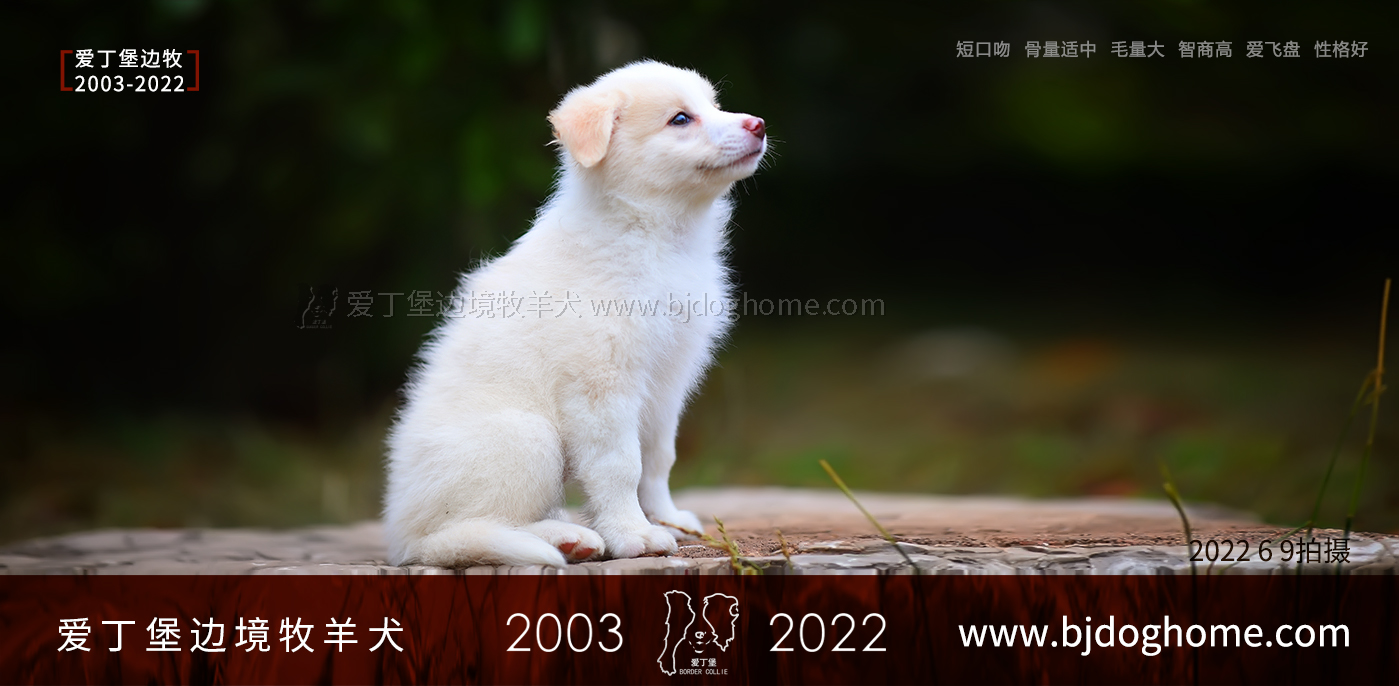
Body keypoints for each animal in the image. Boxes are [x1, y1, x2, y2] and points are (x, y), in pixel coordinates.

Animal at [383, 61, 767, 567]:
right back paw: (559, 539)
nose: (758, 124)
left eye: (714, 105)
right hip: (525, 438)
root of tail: (400, 534)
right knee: (459, 535)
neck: (657, 236)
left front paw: (665, 519)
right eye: (681, 119)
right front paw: (633, 535)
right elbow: (621, 465)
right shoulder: (601, 384)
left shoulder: (666, 383)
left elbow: (657, 459)